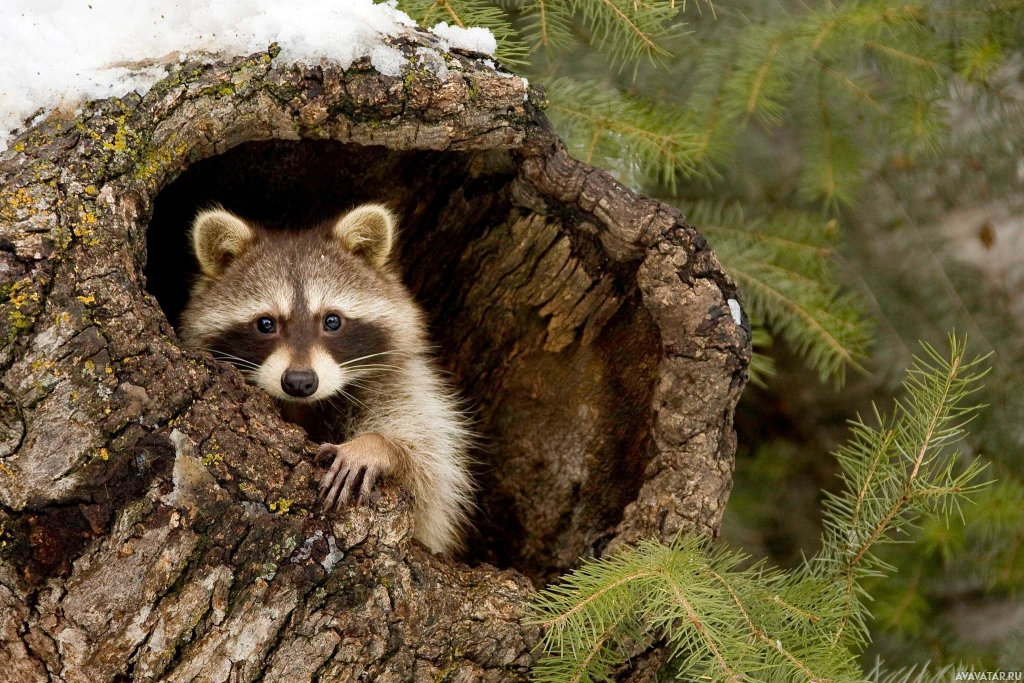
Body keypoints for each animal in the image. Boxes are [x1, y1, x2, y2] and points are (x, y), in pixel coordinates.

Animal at [178, 204, 473, 557]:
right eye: (266, 324)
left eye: (332, 321)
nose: (299, 381)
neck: (304, 406)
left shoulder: (402, 382)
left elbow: (430, 473)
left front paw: (377, 445)